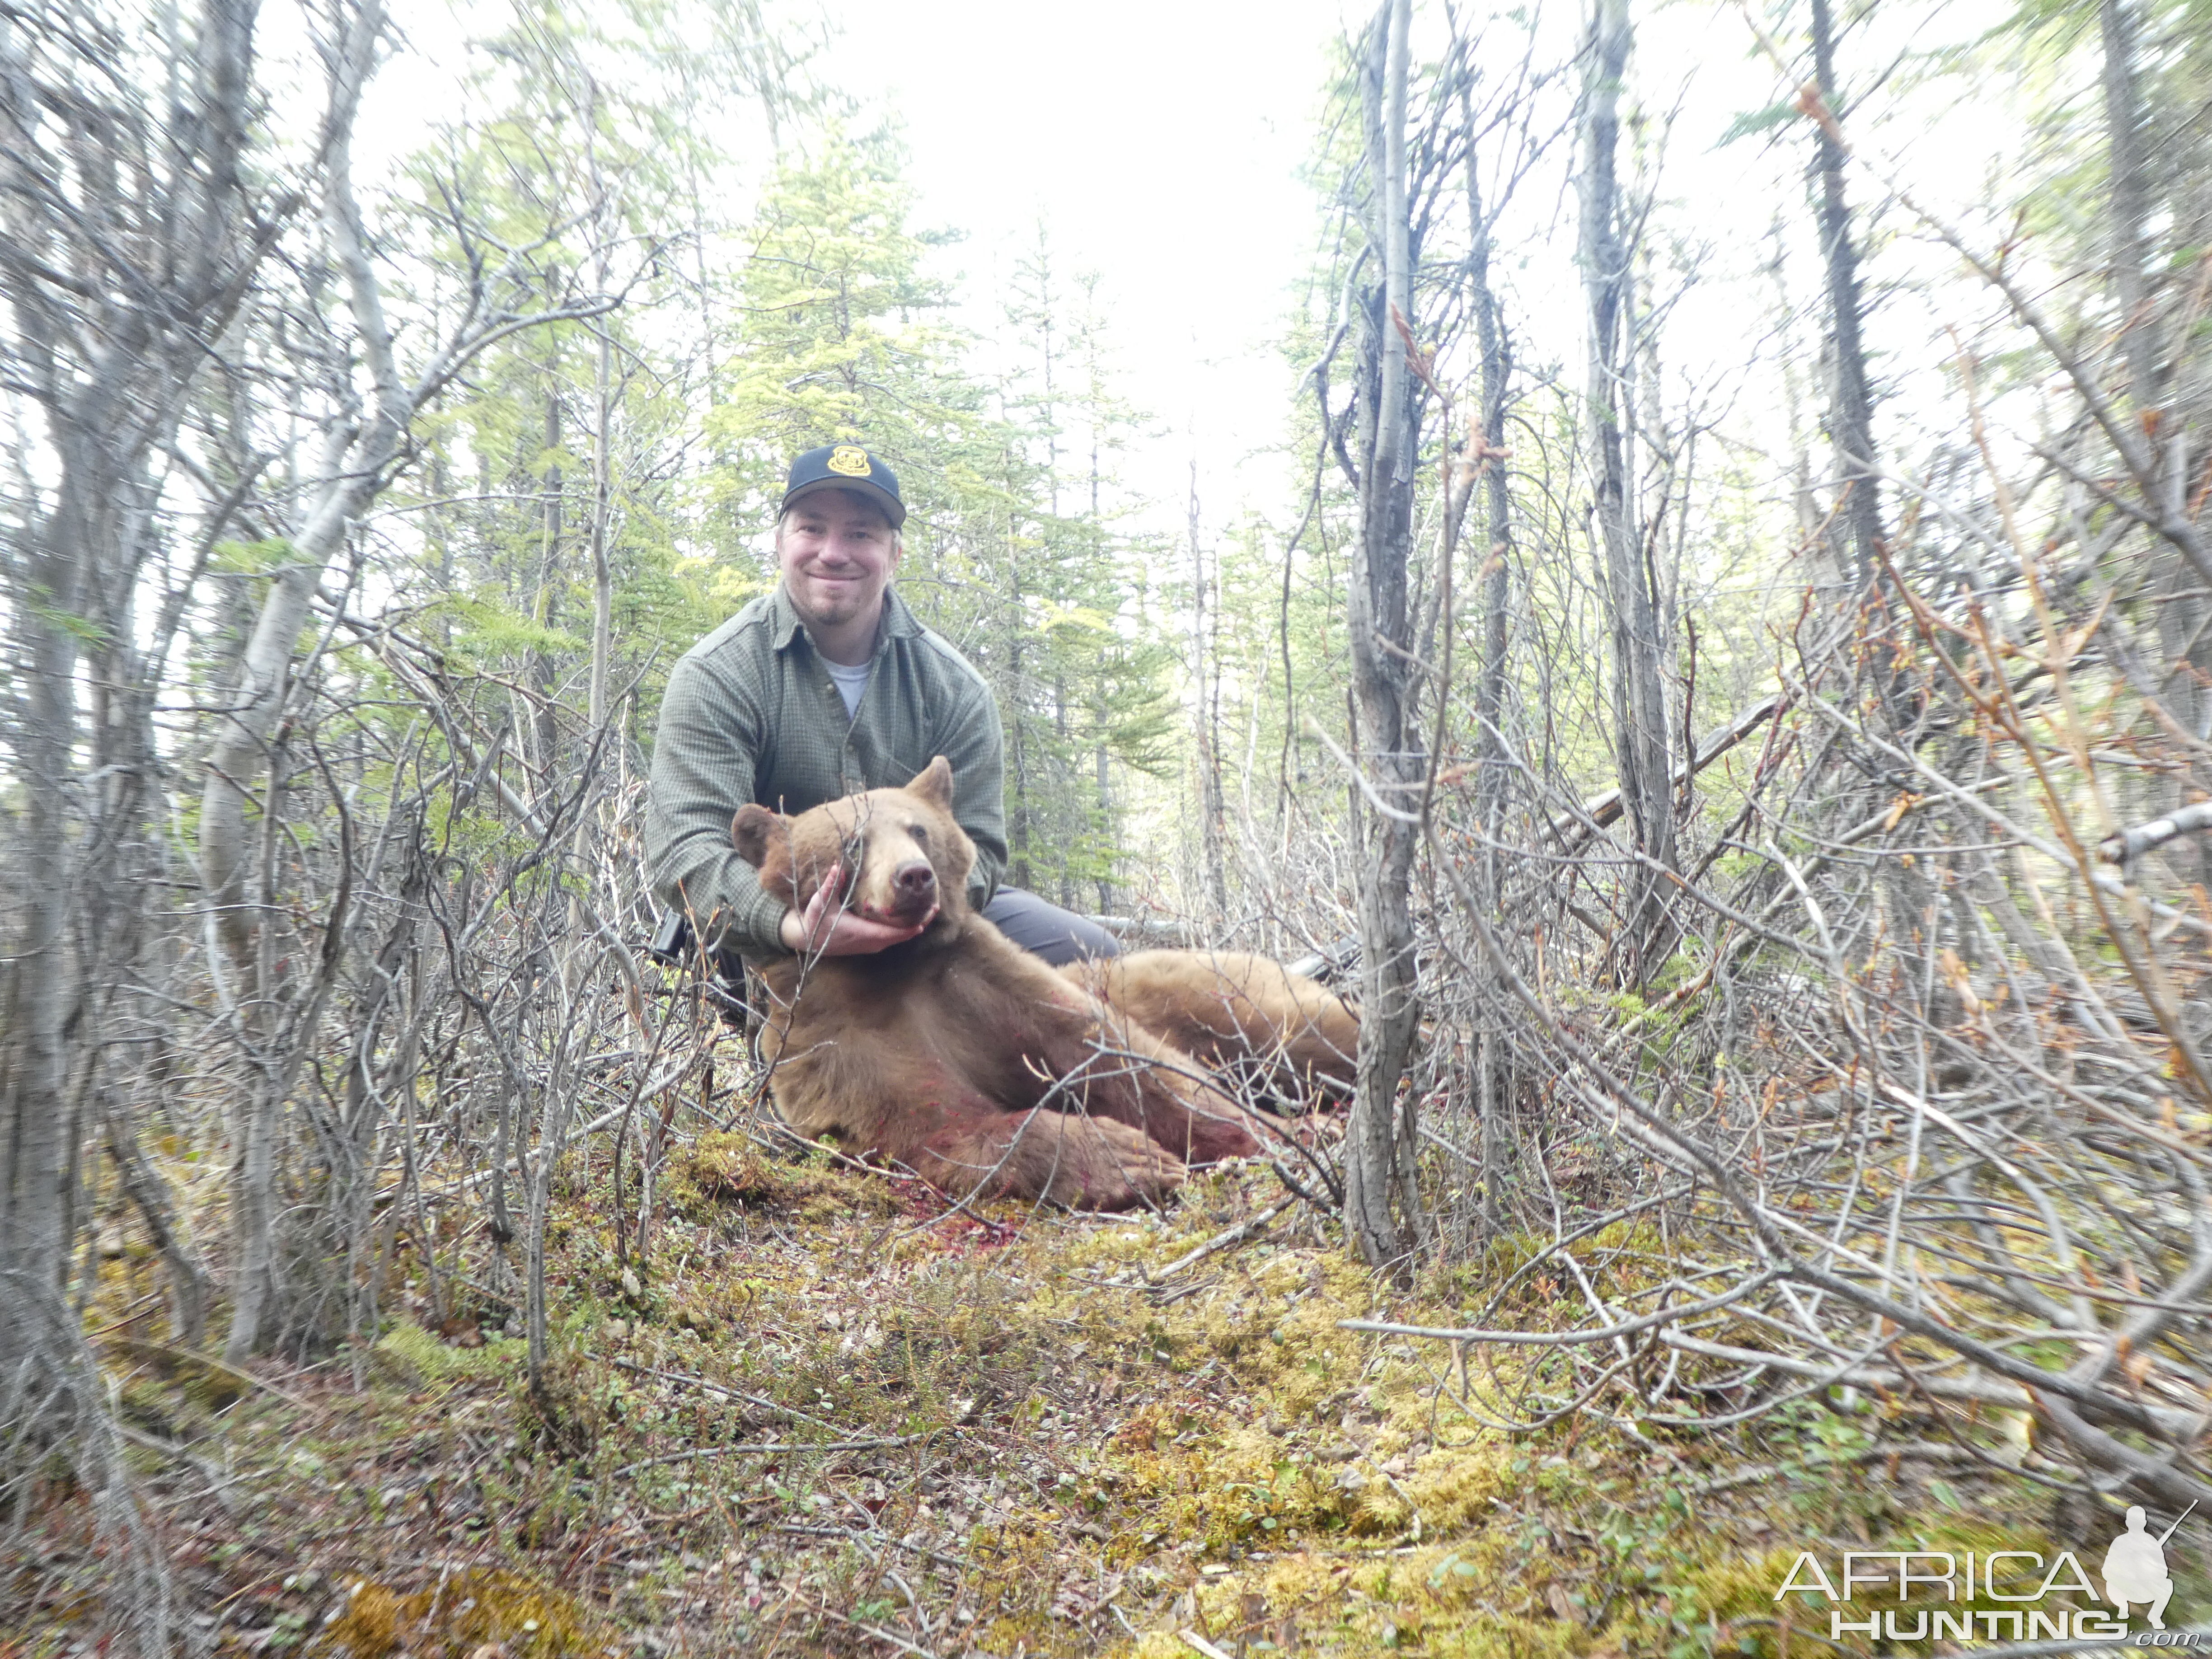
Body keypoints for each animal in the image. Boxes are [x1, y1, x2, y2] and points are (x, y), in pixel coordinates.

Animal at [725, 761, 1345, 1212]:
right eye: (853, 842)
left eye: (917, 829)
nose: (913, 876)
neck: (893, 967)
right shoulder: (839, 1037)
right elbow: (936, 1121)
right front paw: (1130, 1158)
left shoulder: (987, 978)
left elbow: (1130, 1063)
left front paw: (1286, 1134)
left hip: (1221, 992)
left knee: (1307, 1033)